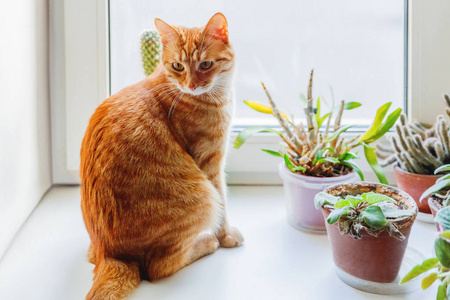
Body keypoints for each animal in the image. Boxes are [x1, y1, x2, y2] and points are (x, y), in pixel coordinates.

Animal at [81, 12, 243, 298]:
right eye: (178, 66)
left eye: (205, 64)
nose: (191, 85)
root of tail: (112, 253)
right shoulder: (210, 163)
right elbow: (223, 205)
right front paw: (225, 237)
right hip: (202, 196)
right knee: (159, 267)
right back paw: (206, 242)